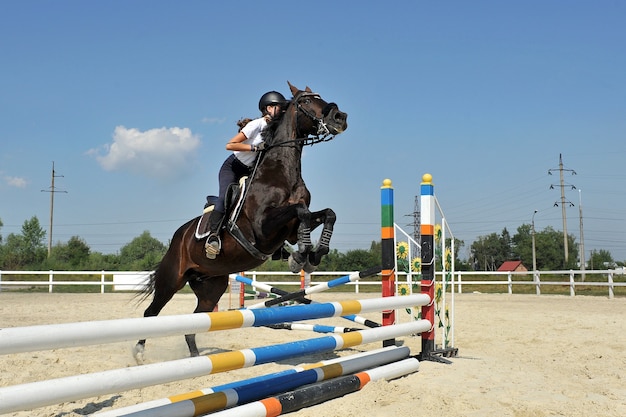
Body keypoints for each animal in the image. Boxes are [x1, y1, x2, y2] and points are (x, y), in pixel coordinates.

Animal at [133, 83, 346, 360]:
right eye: (307, 102)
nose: (340, 117)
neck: (281, 173)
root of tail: (177, 238)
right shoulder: (264, 229)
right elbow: (301, 211)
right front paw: (301, 256)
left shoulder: (289, 231)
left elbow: (326, 213)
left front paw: (313, 255)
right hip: (172, 279)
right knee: (152, 312)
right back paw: (139, 353)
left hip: (211, 286)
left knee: (195, 322)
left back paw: (196, 358)